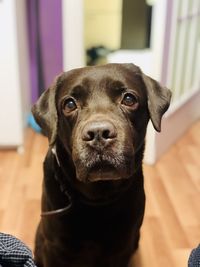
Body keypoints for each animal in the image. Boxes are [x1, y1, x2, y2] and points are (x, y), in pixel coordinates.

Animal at [32, 63, 171, 266]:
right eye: (69, 104)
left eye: (129, 99)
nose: (98, 133)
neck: (97, 197)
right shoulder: (55, 248)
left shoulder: (121, 247)